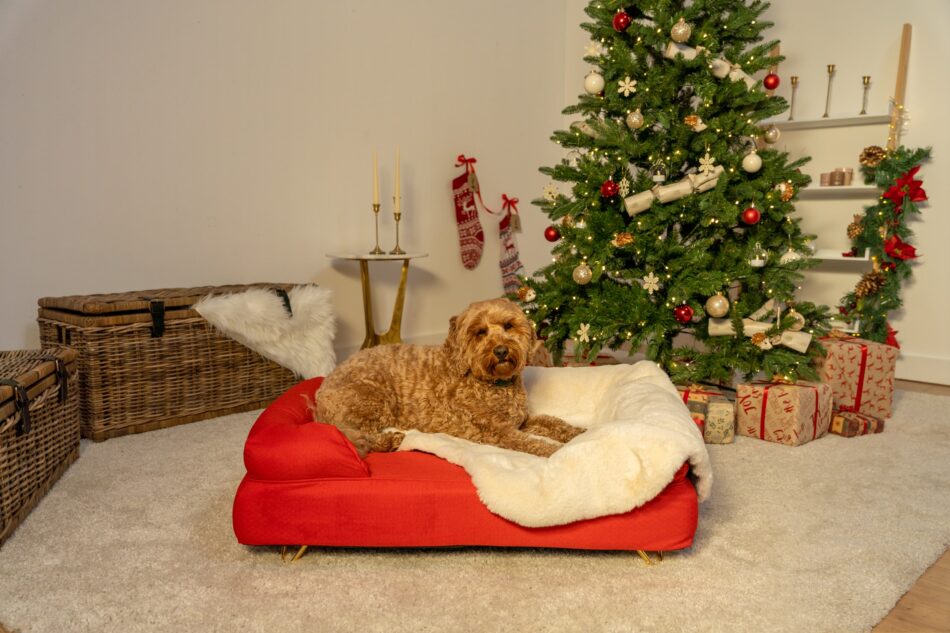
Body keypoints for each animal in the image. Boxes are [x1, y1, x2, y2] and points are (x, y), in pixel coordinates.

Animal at [314, 298, 580, 456]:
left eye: (508, 325)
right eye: (480, 332)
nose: (501, 351)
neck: (492, 384)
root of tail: (320, 395)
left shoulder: (521, 421)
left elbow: (553, 421)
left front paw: (578, 432)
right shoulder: (499, 433)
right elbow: (532, 443)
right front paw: (558, 451)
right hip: (373, 398)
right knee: (357, 435)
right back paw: (389, 441)